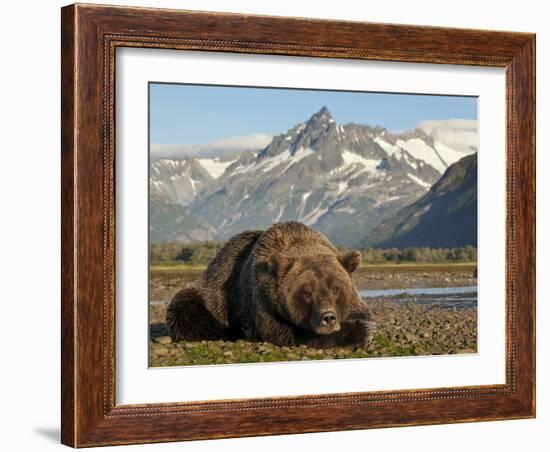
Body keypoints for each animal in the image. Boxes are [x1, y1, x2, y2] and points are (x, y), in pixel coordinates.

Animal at [166, 221, 374, 348]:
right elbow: (282, 331)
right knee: (186, 308)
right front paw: (353, 332)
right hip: (209, 297)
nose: (328, 317)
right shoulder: (261, 299)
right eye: (307, 293)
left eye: (336, 289)